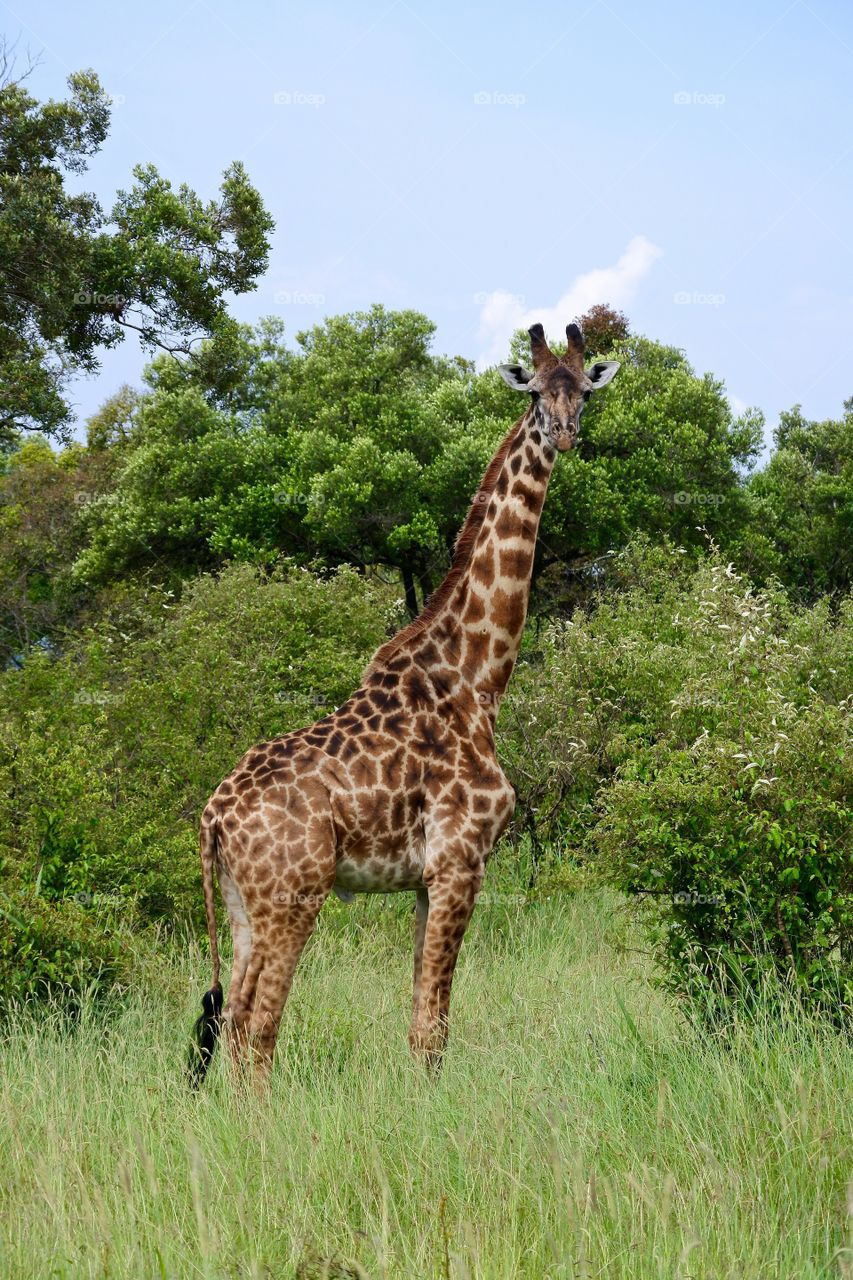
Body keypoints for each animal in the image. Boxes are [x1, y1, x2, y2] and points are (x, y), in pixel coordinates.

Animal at [189, 320, 617, 1080]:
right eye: (536, 393)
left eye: (583, 392)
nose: (565, 434)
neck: (476, 680)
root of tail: (212, 817)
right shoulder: (459, 861)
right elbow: (431, 1030)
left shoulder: (425, 877)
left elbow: (421, 1023)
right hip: (293, 894)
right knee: (259, 1026)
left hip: (242, 904)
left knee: (232, 1021)